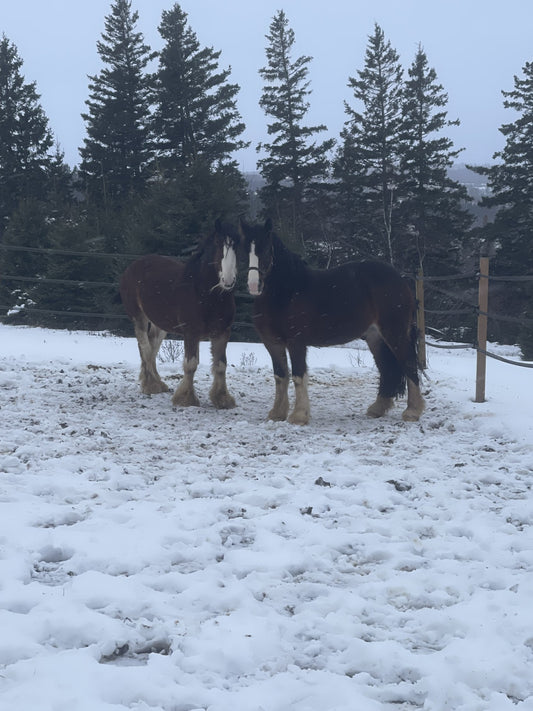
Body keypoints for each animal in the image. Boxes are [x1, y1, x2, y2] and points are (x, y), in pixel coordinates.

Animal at [120, 221, 239, 412]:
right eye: (217, 245)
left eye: (238, 246)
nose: (228, 280)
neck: (207, 295)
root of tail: (133, 266)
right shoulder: (191, 332)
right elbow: (191, 364)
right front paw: (186, 399)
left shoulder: (222, 332)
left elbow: (221, 365)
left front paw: (222, 399)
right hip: (139, 318)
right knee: (145, 347)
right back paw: (151, 385)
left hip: (160, 324)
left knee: (152, 346)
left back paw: (156, 382)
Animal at [240, 220, 424, 426]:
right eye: (245, 250)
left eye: (265, 250)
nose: (254, 285)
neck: (287, 292)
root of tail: (400, 281)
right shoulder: (272, 343)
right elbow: (280, 376)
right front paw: (277, 414)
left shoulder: (296, 342)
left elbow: (298, 376)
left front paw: (299, 416)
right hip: (375, 337)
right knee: (386, 369)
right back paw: (378, 408)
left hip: (395, 332)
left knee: (409, 364)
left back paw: (412, 411)